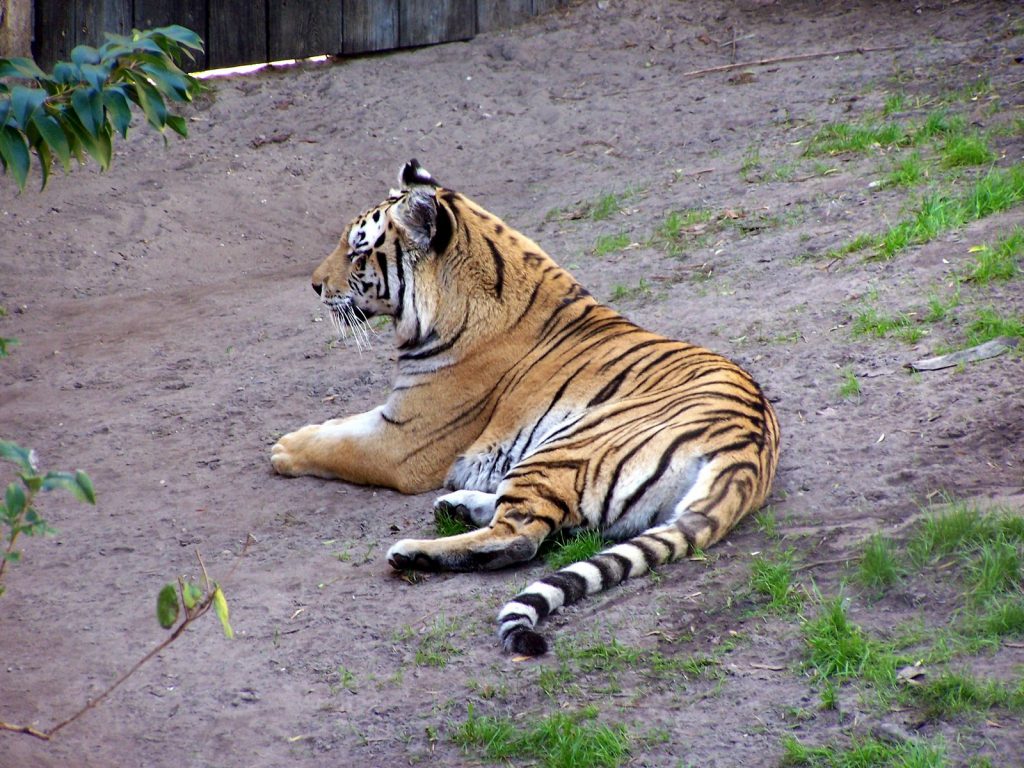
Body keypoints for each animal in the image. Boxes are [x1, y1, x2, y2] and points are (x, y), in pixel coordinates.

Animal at [268, 159, 778, 659]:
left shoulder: (403, 439)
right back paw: (457, 504)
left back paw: (413, 550)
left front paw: (284, 449)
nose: (314, 286)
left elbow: (339, 444)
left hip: (565, 445)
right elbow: (341, 426)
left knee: (521, 537)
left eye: (357, 252)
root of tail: (746, 458)